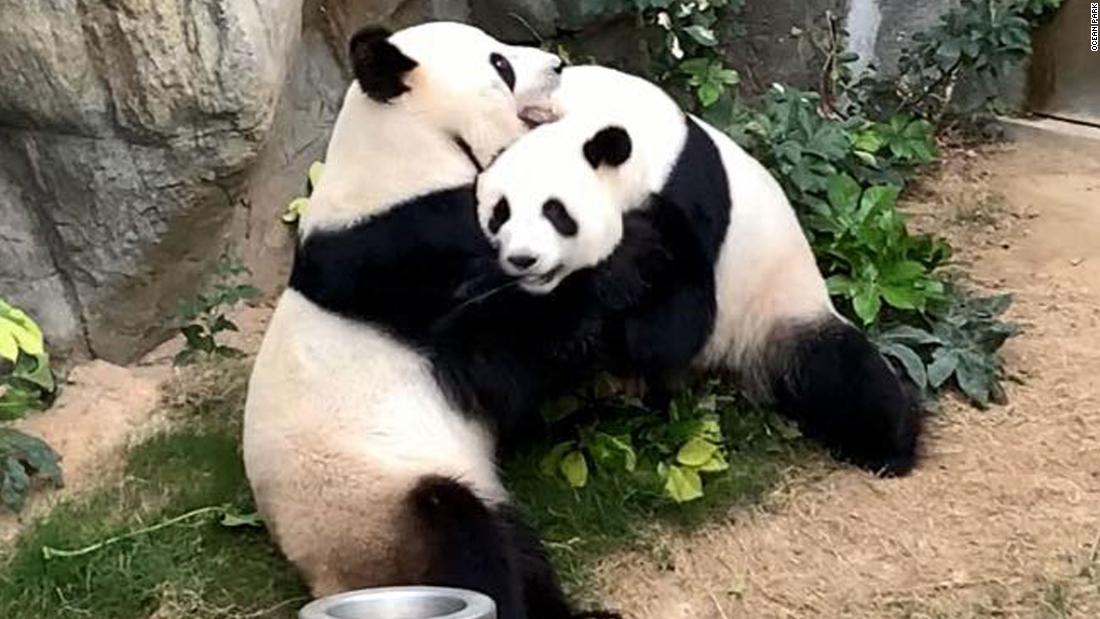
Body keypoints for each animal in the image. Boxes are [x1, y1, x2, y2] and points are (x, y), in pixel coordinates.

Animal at [243, 23, 615, 619]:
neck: (407, 149)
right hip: (376, 506)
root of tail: (325, 581)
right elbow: (503, 361)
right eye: (500, 65)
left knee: (516, 545)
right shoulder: (411, 257)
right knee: (464, 536)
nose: (557, 65)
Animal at [475, 65, 921, 476]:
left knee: (841, 372)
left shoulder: (688, 198)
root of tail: (727, 368)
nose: (523, 259)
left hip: (777, 311)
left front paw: (616, 275)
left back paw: (889, 449)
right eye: (501, 212)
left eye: (556, 212)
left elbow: (674, 327)